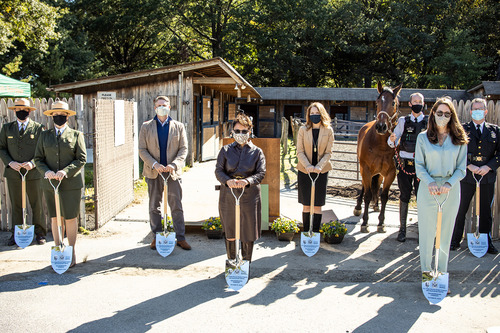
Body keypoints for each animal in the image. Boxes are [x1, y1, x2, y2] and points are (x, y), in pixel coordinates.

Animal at [354, 81, 404, 232]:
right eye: (377, 102)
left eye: (393, 102)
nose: (381, 126)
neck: (381, 145)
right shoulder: (366, 169)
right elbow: (367, 194)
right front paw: (365, 223)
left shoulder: (390, 173)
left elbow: (384, 196)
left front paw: (381, 223)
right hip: (365, 170)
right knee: (365, 187)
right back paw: (358, 207)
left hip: (379, 173)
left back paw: (376, 205)